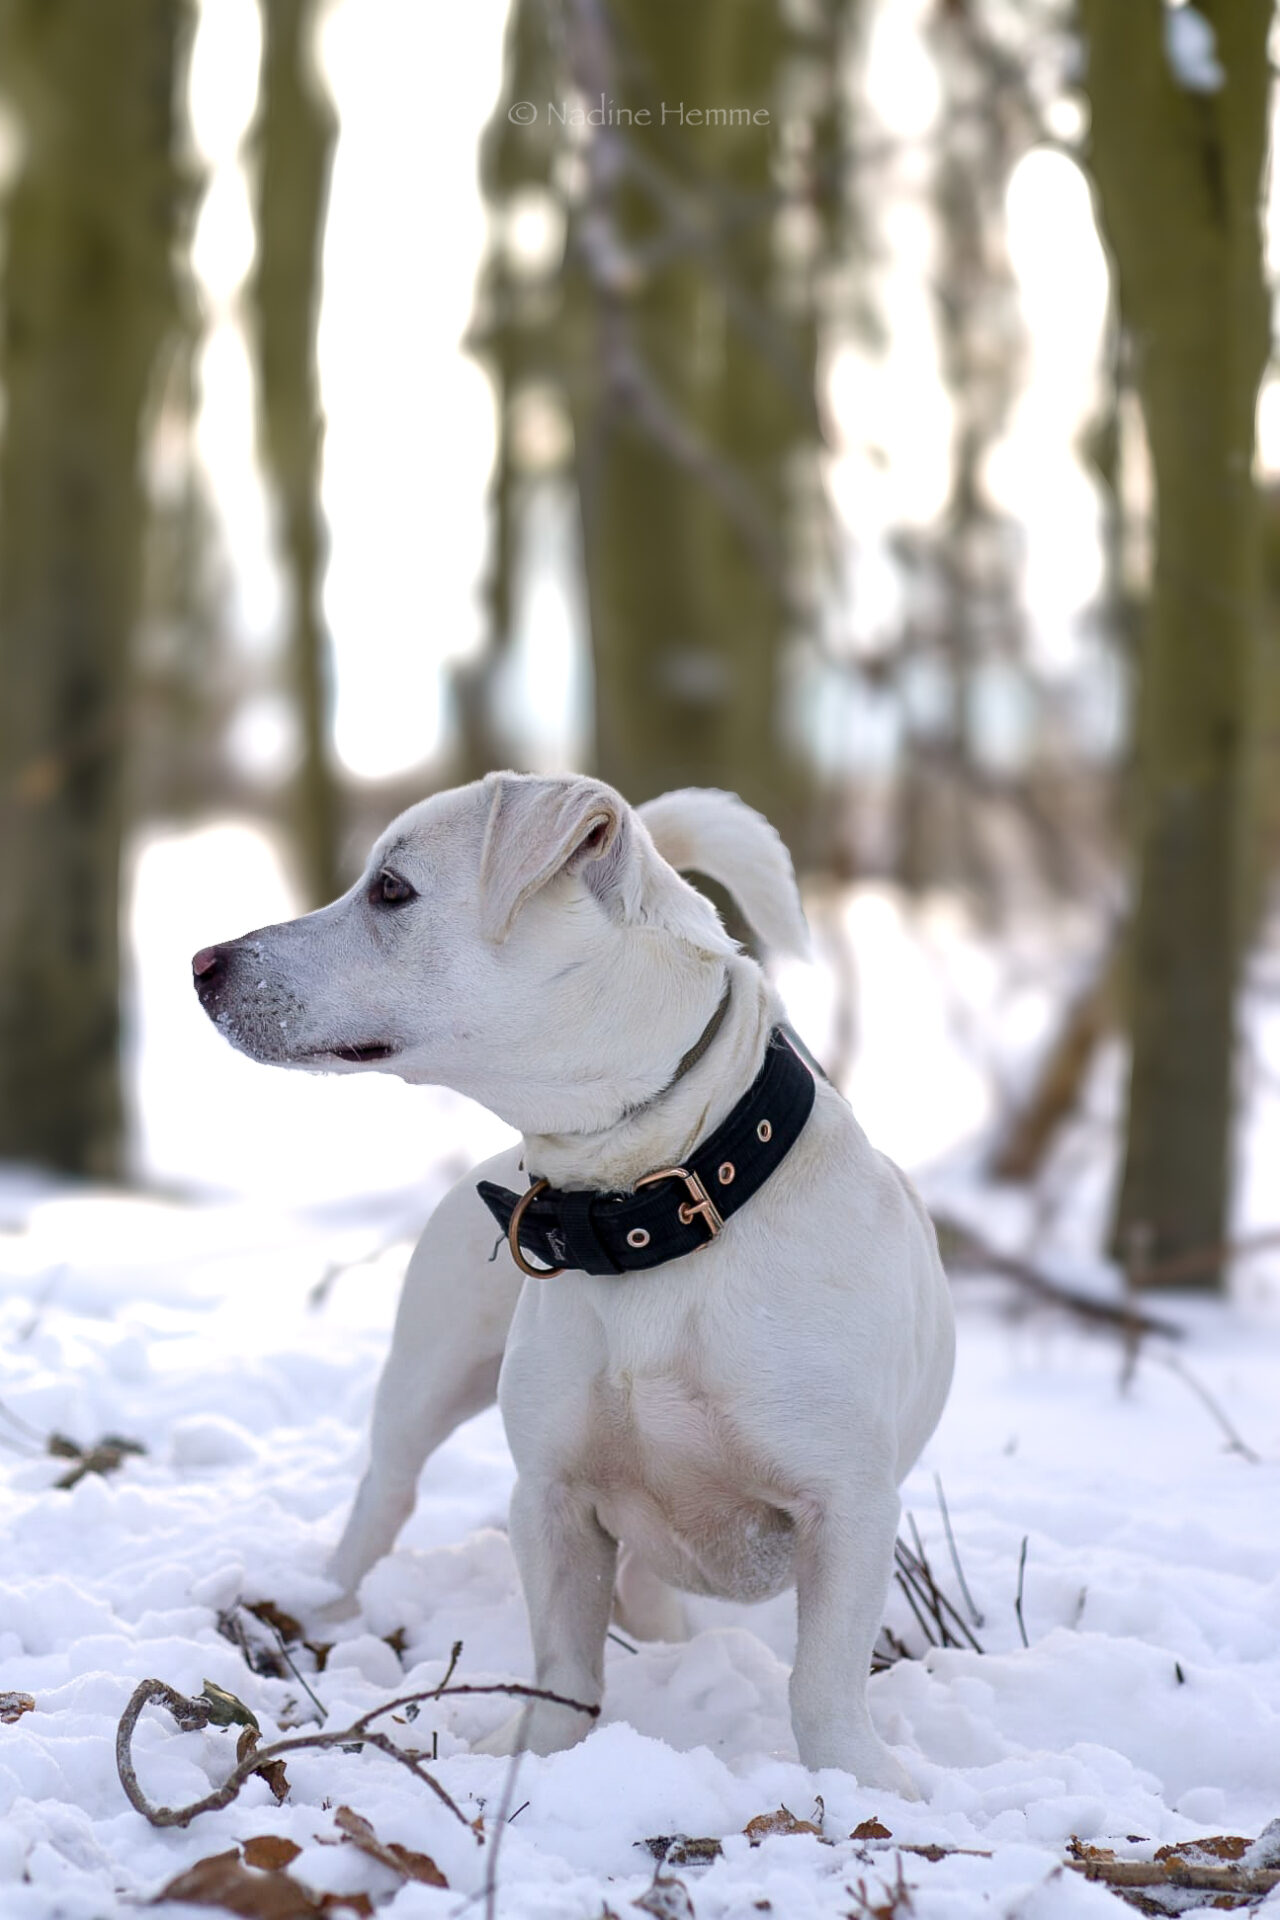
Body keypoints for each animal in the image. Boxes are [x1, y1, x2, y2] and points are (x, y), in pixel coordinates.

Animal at [192, 771, 955, 1793]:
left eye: (391, 889)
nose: (202, 962)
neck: (647, 1204)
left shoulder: (849, 1509)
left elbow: (823, 1679)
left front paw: (857, 1782)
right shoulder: (551, 1496)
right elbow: (563, 1663)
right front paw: (534, 1755)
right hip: (425, 1378)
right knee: (383, 1497)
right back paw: (320, 1604)